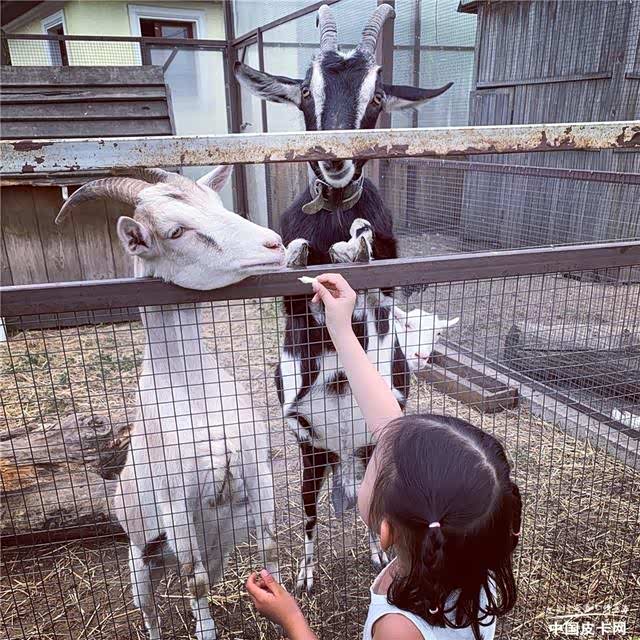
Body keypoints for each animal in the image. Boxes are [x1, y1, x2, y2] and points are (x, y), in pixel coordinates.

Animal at [54, 167, 284, 640]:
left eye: (217, 205)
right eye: (175, 231)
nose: (275, 244)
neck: (193, 392)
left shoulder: (258, 470)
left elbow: (270, 548)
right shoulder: (175, 499)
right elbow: (194, 581)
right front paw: (206, 631)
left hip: (216, 545)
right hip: (140, 560)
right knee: (151, 606)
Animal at [235, 3, 453, 594]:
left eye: (376, 98)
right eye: (305, 96)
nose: (335, 161)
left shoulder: (389, 282)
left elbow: (369, 261)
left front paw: (353, 242)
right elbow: (295, 273)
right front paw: (300, 253)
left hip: (369, 450)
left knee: (365, 503)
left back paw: (379, 556)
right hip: (311, 455)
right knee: (312, 510)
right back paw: (306, 575)